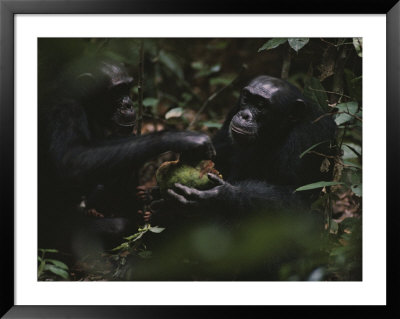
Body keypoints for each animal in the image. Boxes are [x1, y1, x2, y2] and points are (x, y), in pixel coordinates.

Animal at [37, 57, 216, 255]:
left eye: (127, 88)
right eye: (117, 90)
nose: (128, 104)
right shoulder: (64, 110)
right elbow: (71, 159)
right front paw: (180, 138)